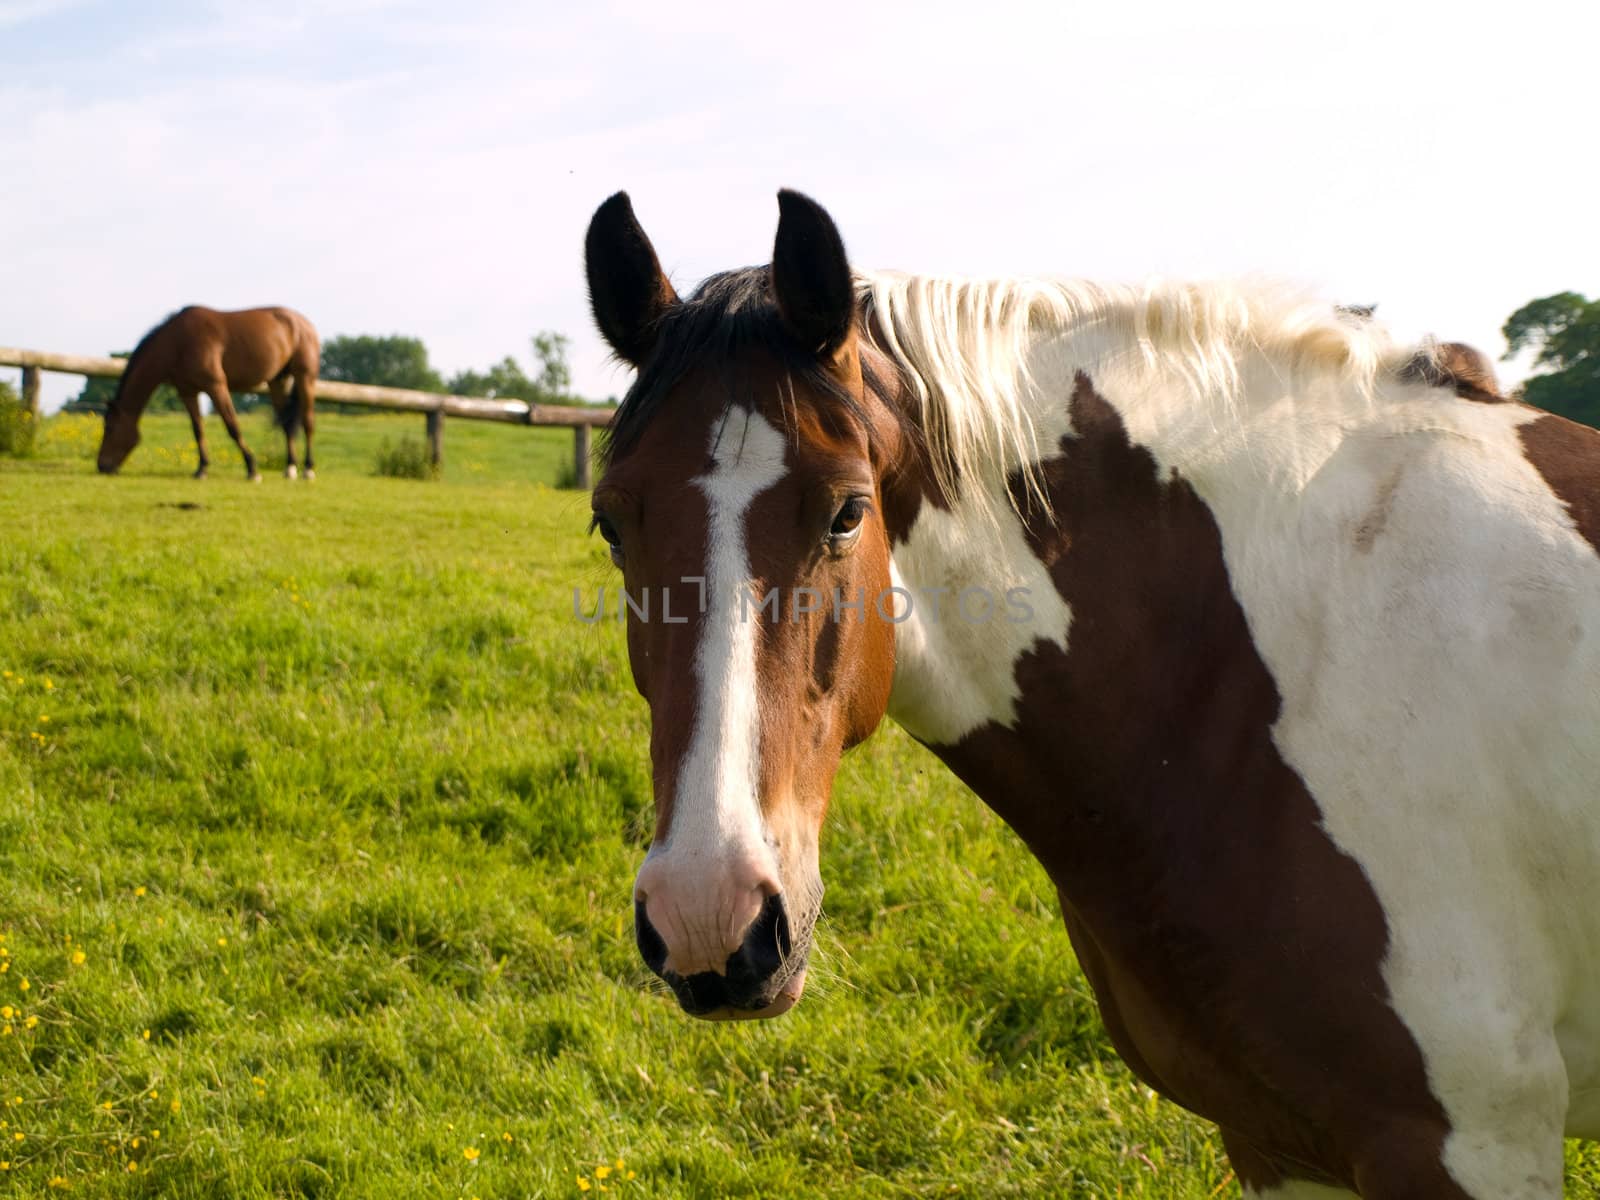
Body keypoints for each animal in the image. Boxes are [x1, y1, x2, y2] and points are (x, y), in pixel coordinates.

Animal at [94, 305, 321, 480]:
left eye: (109, 428)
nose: (102, 466)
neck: (177, 342)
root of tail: (305, 324)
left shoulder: (216, 386)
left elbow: (232, 426)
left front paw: (252, 468)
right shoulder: (188, 391)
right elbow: (198, 430)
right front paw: (201, 469)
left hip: (305, 378)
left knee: (308, 422)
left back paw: (308, 470)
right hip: (277, 381)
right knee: (287, 424)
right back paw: (290, 468)